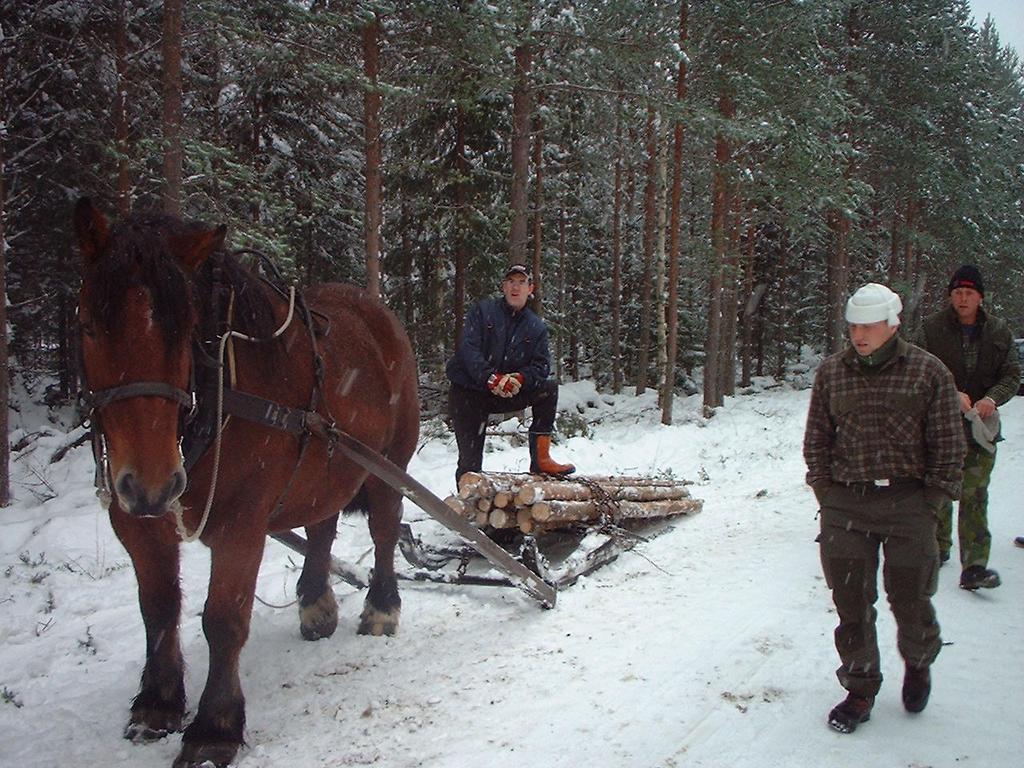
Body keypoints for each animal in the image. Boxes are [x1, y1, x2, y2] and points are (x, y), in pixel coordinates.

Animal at [74, 199, 419, 768]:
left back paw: (381, 609)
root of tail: (378, 311)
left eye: (185, 329)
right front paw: (157, 702)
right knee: (321, 528)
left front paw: (214, 727)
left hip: (389, 460)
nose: (151, 485)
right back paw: (316, 604)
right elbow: (158, 608)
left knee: (386, 531)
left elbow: (224, 620)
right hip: (326, 462)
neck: (214, 396)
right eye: (88, 325)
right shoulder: (136, 524)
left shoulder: (241, 523)